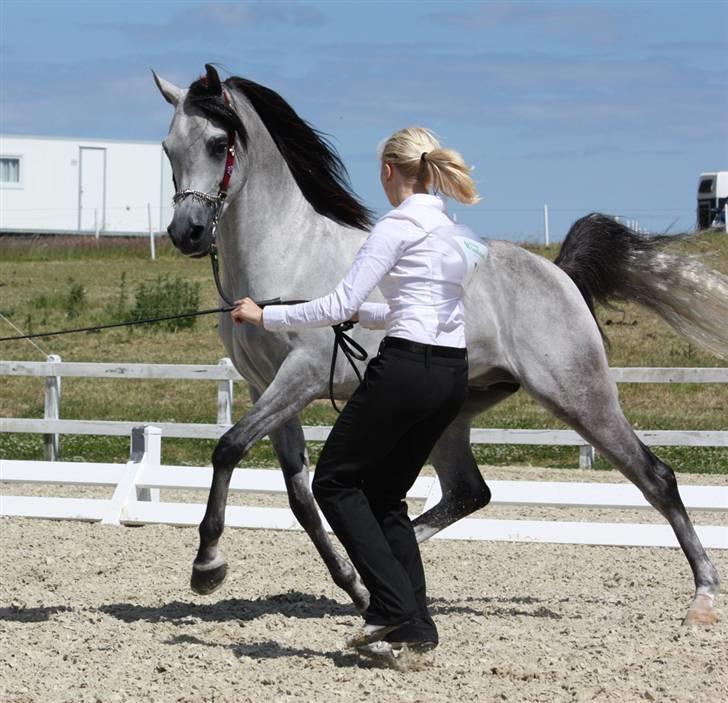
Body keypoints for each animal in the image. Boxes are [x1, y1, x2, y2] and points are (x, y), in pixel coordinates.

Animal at [152, 66, 724, 628]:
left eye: (219, 142)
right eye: (167, 147)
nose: (187, 233)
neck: (288, 253)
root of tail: (558, 272)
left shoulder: (303, 375)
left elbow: (227, 448)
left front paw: (207, 568)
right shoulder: (264, 387)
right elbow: (298, 497)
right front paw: (353, 585)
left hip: (581, 397)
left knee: (656, 478)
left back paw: (703, 596)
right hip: (455, 413)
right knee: (468, 491)